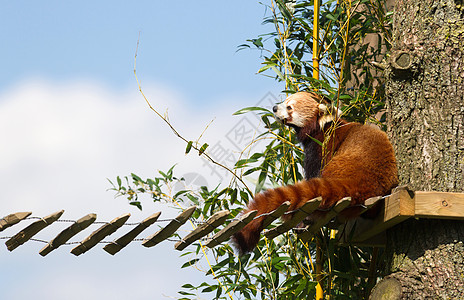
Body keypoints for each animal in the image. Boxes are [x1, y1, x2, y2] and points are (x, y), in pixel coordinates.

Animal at [232, 91, 398, 253]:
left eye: (289, 107)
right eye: (284, 101)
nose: (274, 108)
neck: (322, 128)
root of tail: (363, 181)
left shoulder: (321, 146)